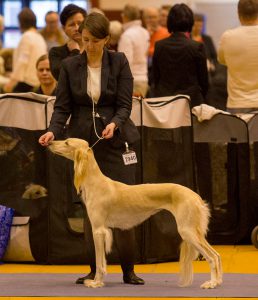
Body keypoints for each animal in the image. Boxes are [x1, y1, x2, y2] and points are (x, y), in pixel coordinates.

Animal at [49, 138, 223, 288]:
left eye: (67, 142)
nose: (49, 142)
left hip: (187, 230)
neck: (96, 183)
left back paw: (212, 283)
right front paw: (97, 280)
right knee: (217, 255)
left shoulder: (98, 230)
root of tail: (195, 196)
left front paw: (96, 282)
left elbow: (99, 262)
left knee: (212, 256)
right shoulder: (103, 230)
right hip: (192, 231)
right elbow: (101, 261)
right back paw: (217, 281)